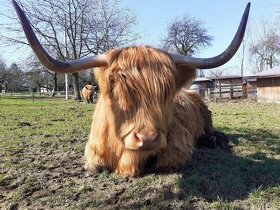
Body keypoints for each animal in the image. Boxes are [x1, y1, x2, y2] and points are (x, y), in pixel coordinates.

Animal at [12, 0, 250, 176]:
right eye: (116, 85)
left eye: (166, 89)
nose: (148, 139)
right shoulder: (92, 153)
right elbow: (96, 167)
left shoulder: (178, 143)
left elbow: (167, 161)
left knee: (214, 133)